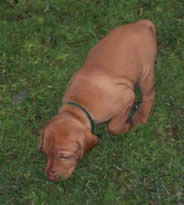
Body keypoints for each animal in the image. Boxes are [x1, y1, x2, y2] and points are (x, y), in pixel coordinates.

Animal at [38, 18, 157, 179]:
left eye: (64, 156)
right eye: (46, 153)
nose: (49, 177)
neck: (78, 106)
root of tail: (142, 24)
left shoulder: (127, 97)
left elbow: (113, 127)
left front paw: (127, 125)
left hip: (146, 74)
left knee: (150, 95)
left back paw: (140, 115)